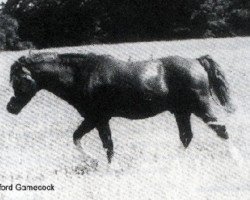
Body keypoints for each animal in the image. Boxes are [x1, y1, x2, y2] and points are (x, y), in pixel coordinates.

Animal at [6, 52, 233, 163]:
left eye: (19, 81)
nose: (10, 108)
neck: (82, 75)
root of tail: (197, 62)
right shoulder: (95, 119)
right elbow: (81, 139)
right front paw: (95, 163)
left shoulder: (97, 119)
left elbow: (105, 145)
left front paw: (100, 165)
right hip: (182, 112)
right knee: (186, 137)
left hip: (200, 108)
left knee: (221, 131)